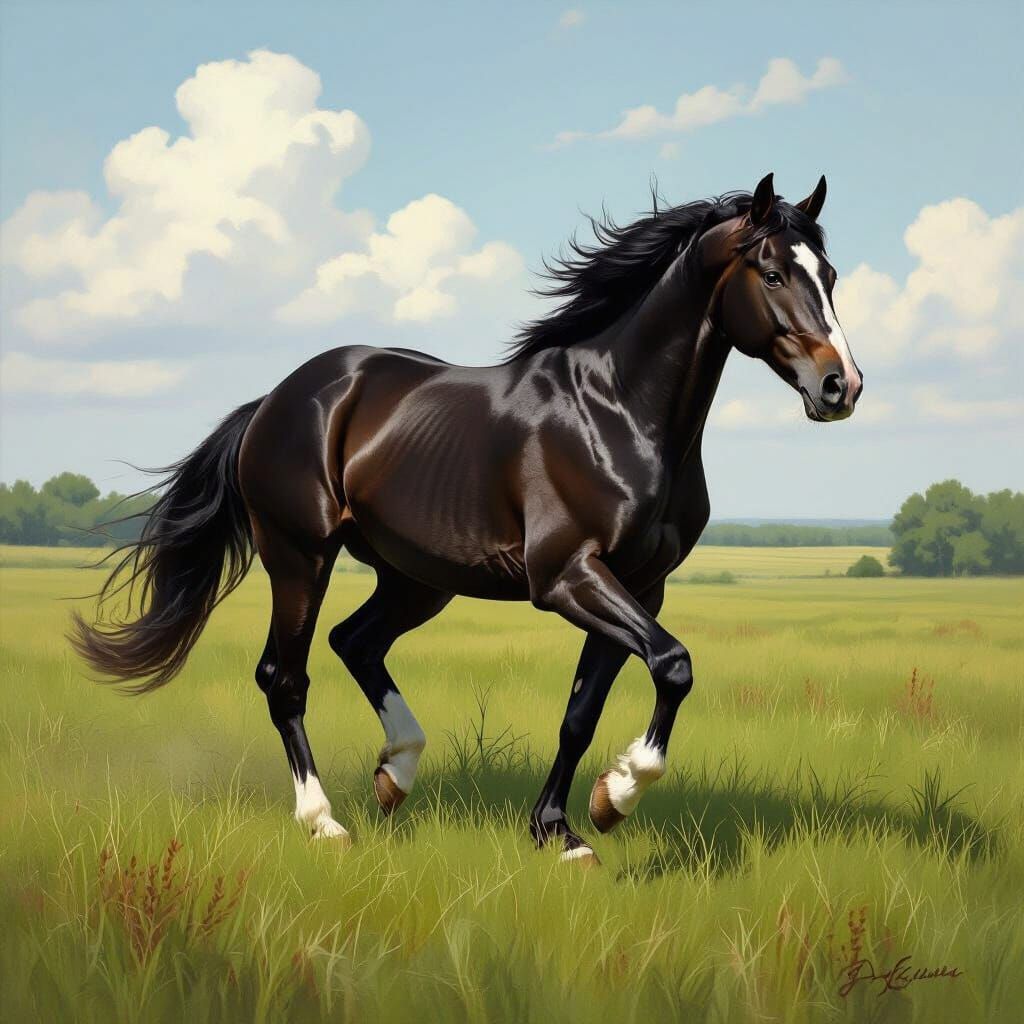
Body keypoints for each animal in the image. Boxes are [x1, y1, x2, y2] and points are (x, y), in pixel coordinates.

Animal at [71, 172, 863, 863]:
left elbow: (583, 712)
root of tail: (276, 399)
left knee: (355, 641)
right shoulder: (568, 577)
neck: (616, 412)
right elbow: (673, 664)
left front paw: (565, 830)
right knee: (284, 675)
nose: (841, 386)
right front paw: (616, 796)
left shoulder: (641, 585)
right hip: (300, 555)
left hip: (418, 578)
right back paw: (325, 823)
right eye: (771, 274)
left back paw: (397, 774)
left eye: (828, 275)